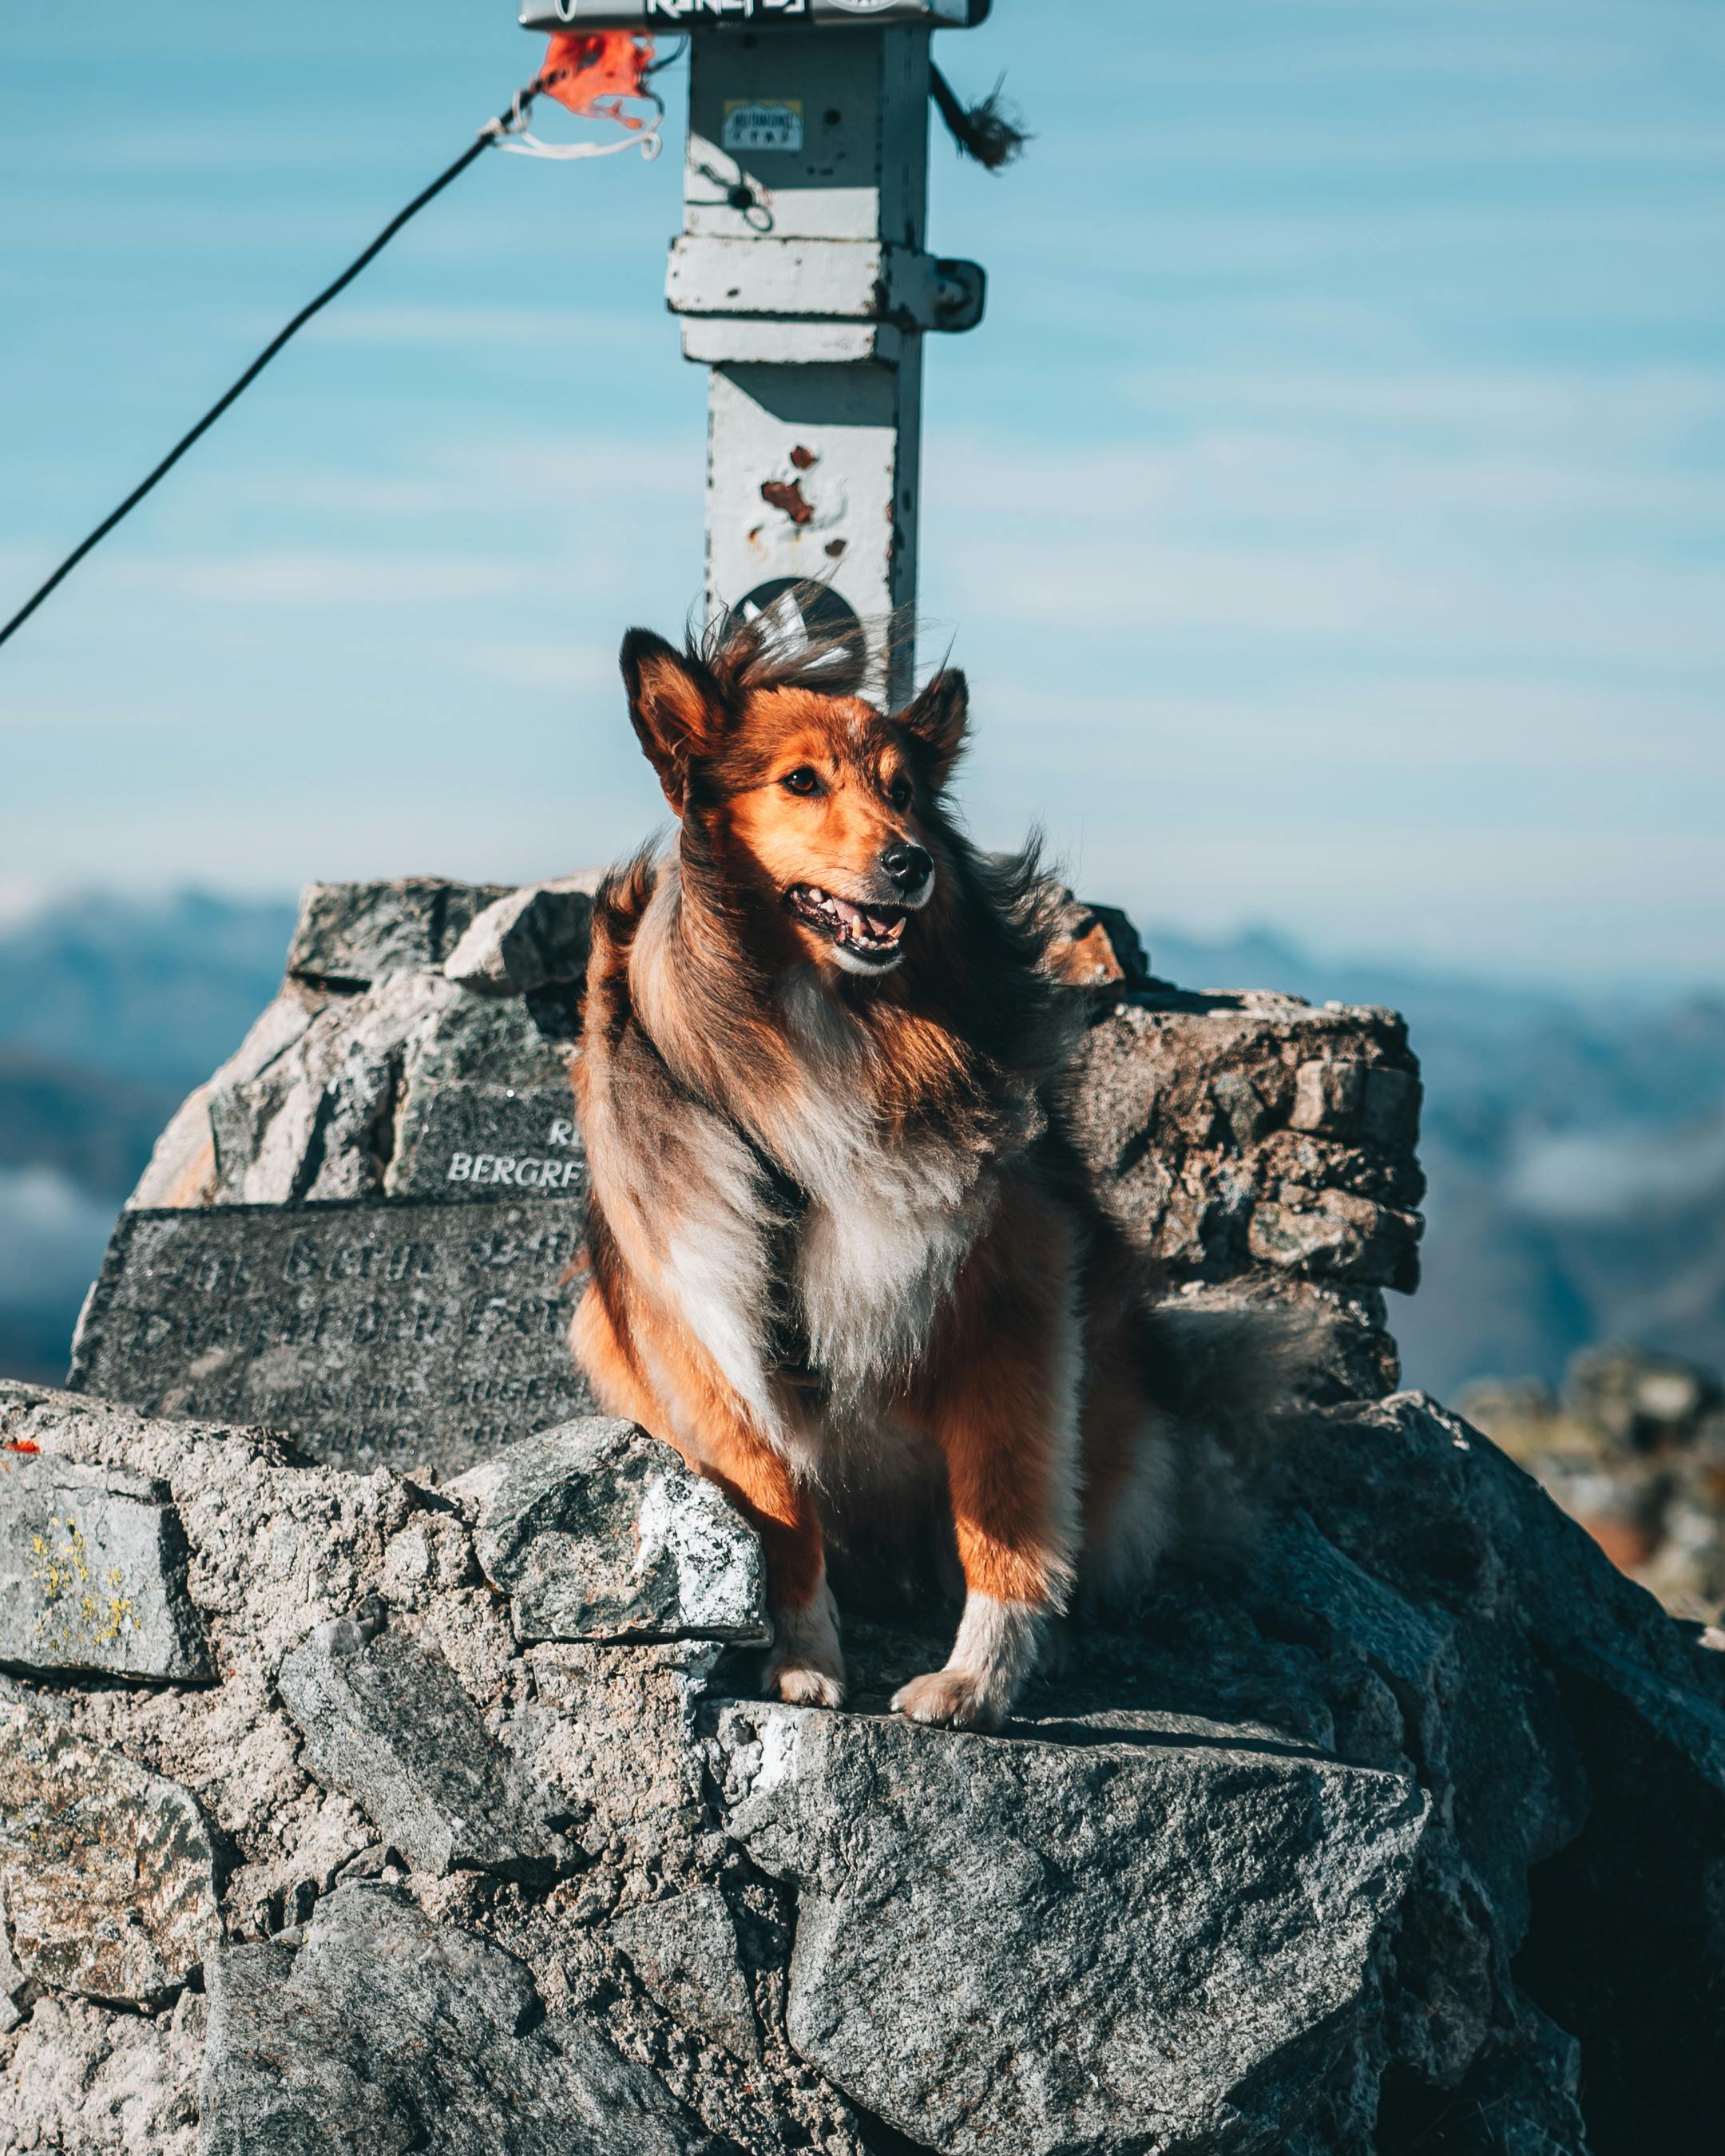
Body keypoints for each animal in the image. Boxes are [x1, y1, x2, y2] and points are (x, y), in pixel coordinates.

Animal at [573, 608, 1302, 1733]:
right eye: (800, 782)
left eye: (905, 789)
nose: (911, 863)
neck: (829, 1026)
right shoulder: (703, 1305)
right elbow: (777, 1506)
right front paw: (802, 1659)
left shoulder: (1012, 1292)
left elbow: (1004, 1507)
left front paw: (977, 1682)